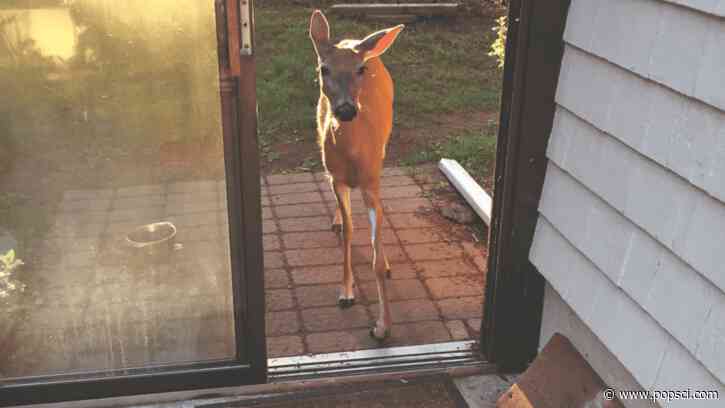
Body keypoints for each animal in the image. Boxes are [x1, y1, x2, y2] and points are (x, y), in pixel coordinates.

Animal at [309, 10, 404, 341]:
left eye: (360, 69)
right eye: (323, 69)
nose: (347, 110)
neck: (352, 157)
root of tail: (353, 39)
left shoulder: (371, 181)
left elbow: (375, 251)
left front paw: (383, 326)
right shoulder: (337, 178)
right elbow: (350, 233)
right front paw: (346, 293)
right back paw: (337, 219)